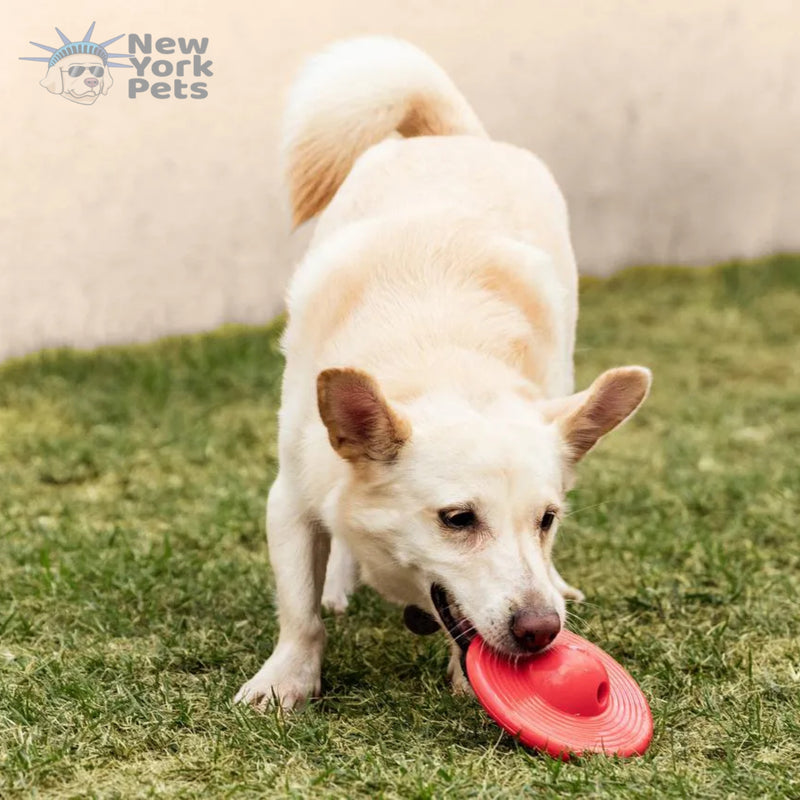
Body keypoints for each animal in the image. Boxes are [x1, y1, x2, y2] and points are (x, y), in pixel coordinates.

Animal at [234, 39, 652, 712]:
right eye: (457, 520)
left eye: (547, 520)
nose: (543, 631)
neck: (443, 355)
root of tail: (453, 137)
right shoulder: (290, 499)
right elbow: (299, 612)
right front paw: (285, 681)